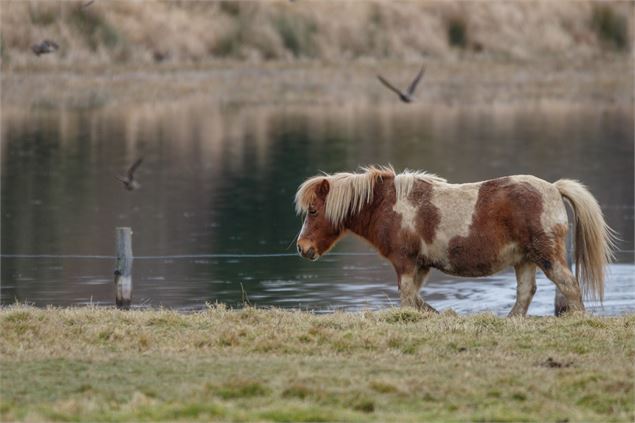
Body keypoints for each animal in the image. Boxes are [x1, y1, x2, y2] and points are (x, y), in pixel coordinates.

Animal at [296, 167, 620, 316]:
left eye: (313, 211)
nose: (303, 248)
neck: (389, 205)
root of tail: (553, 188)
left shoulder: (405, 264)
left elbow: (407, 300)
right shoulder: (421, 267)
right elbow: (418, 301)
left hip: (546, 257)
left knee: (570, 286)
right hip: (525, 260)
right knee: (526, 293)